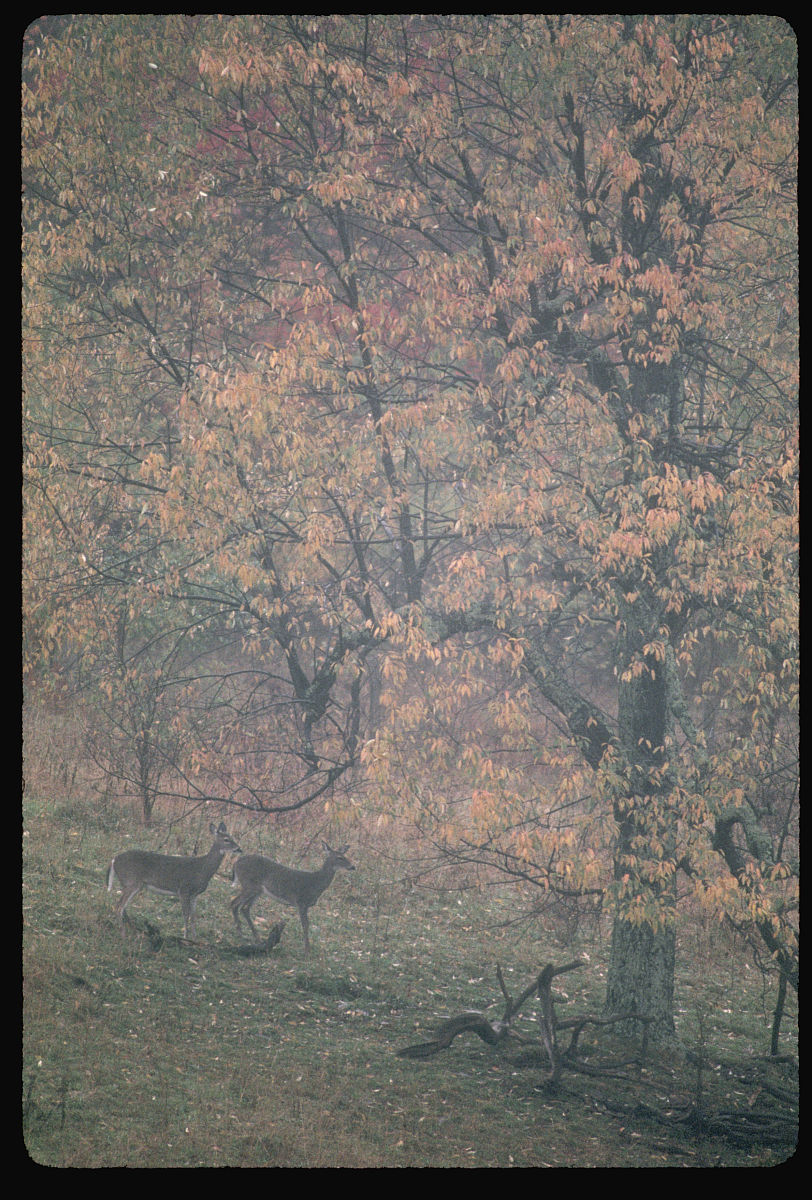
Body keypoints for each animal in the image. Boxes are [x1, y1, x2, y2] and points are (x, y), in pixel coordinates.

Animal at [107, 821, 242, 940]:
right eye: (226, 839)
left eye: (232, 837)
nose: (239, 849)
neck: (203, 869)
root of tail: (114, 860)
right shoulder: (183, 890)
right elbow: (186, 915)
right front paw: (185, 937)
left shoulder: (195, 895)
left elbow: (194, 916)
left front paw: (195, 939)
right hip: (131, 882)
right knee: (119, 906)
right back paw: (124, 935)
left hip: (132, 884)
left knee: (122, 907)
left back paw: (133, 931)